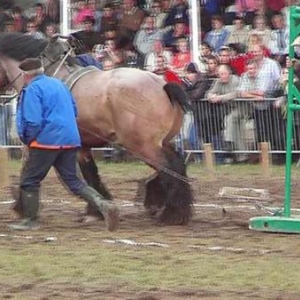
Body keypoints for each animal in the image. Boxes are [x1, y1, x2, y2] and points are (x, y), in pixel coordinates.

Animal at [0, 32, 195, 225]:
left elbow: (27, 171)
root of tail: (163, 85)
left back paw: (171, 213)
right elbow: (90, 174)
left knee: (169, 168)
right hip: (160, 142)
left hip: (142, 146)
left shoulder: (36, 143)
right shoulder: (81, 146)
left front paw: (20, 207)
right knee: (175, 165)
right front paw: (98, 210)